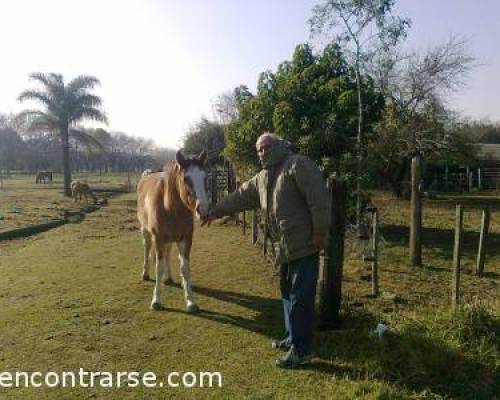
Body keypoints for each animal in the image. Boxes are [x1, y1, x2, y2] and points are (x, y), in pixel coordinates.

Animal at [136, 150, 208, 312]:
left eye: (205, 177)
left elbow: (185, 268)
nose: (204, 210)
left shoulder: (186, 238)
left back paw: (168, 278)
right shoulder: (158, 239)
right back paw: (145, 273)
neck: (169, 207)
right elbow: (158, 267)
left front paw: (191, 301)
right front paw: (156, 301)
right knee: (146, 248)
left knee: (168, 252)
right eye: (186, 178)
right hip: (146, 231)